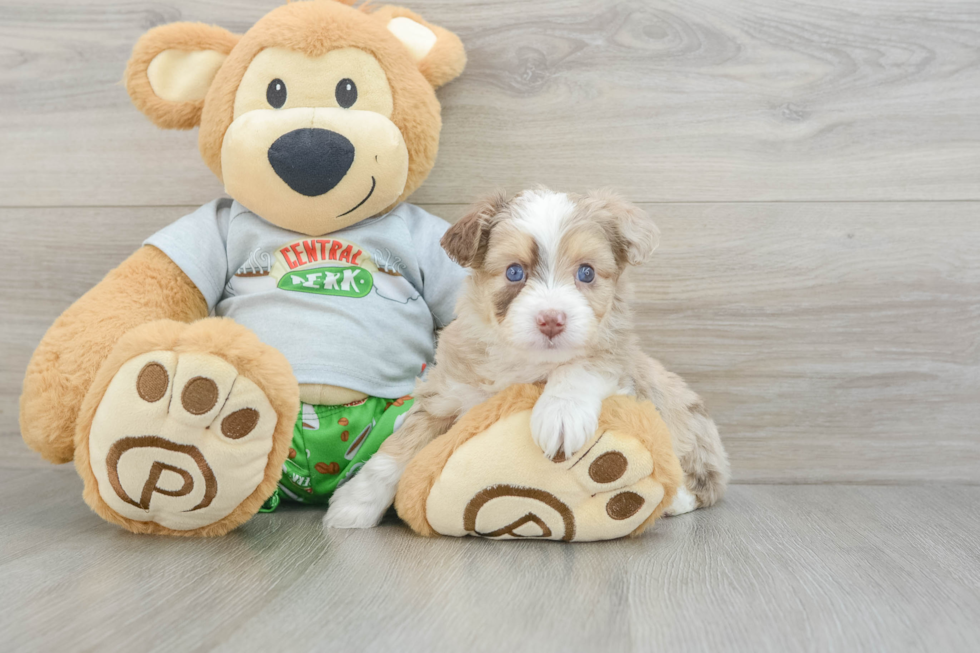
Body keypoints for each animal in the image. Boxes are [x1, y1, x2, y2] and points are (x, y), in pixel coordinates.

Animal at [326, 188, 732, 528]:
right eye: (514, 272)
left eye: (586, 272)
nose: (552, 319)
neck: (525, 360)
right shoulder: (444, 394)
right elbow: (397, 448)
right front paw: (354, 504)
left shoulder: (619, 360)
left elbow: (583, 366)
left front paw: (560, 415)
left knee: (707, 482)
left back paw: (674, 500)